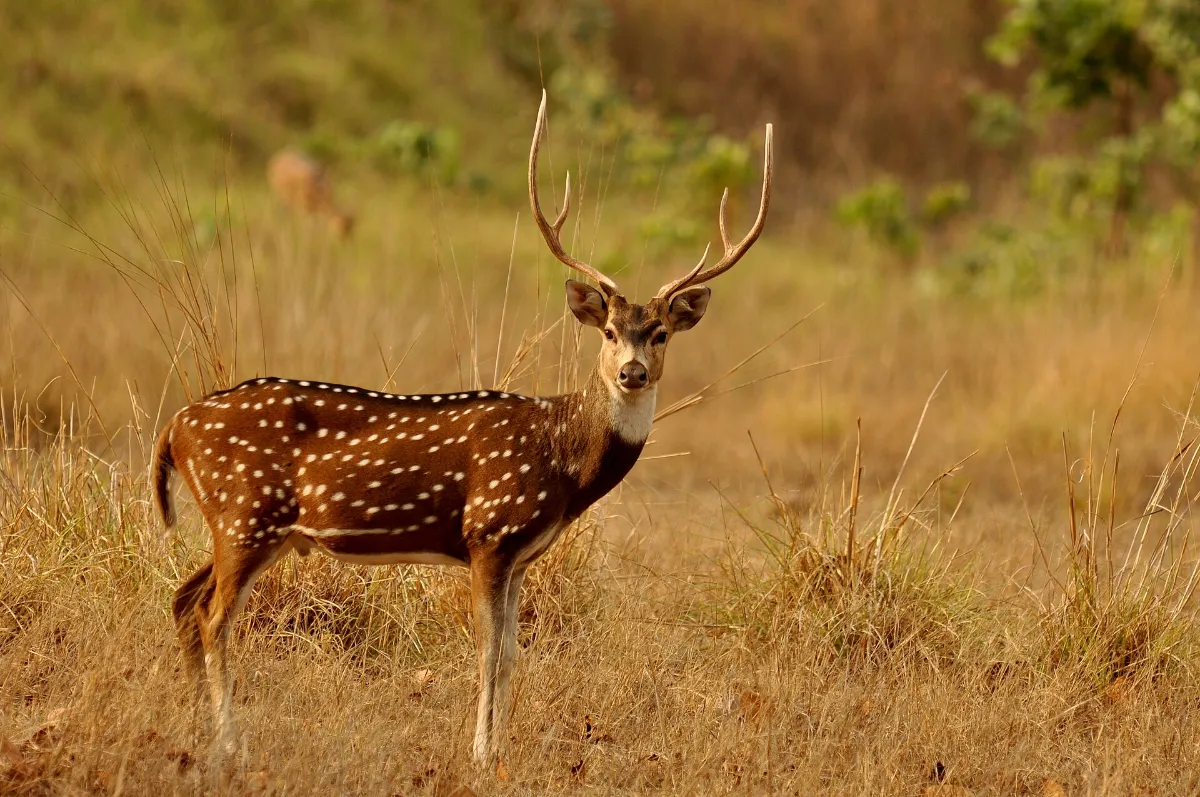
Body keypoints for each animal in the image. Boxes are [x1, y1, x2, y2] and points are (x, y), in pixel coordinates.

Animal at [153, 91, 772, 767]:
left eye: (659, 334)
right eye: (609, 332)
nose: (631, 372)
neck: (561, 459)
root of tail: (175, 428)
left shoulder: (523, 555)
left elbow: (512, 657)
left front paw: (499, 748)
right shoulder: (488, 533)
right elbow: (488, 654)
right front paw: (479, 753)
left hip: (245, 525)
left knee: (185, 600)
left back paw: (196, 729)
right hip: (246, 512)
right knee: (213, 617)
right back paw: (228, 743)